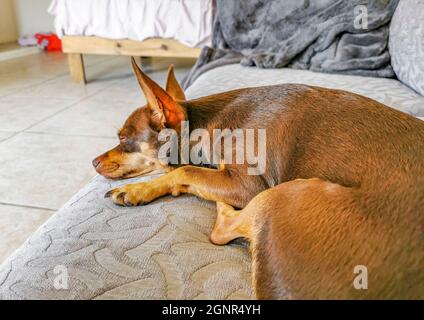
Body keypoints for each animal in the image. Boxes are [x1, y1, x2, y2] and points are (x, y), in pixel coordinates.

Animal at [93, 58, 424, 300]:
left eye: (122, 140)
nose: (93, 161)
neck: (202, 125)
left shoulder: (245, 185)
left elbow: (183, 171)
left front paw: (136, 190)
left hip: (283, 194)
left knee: (221, 231)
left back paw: (223, 208)